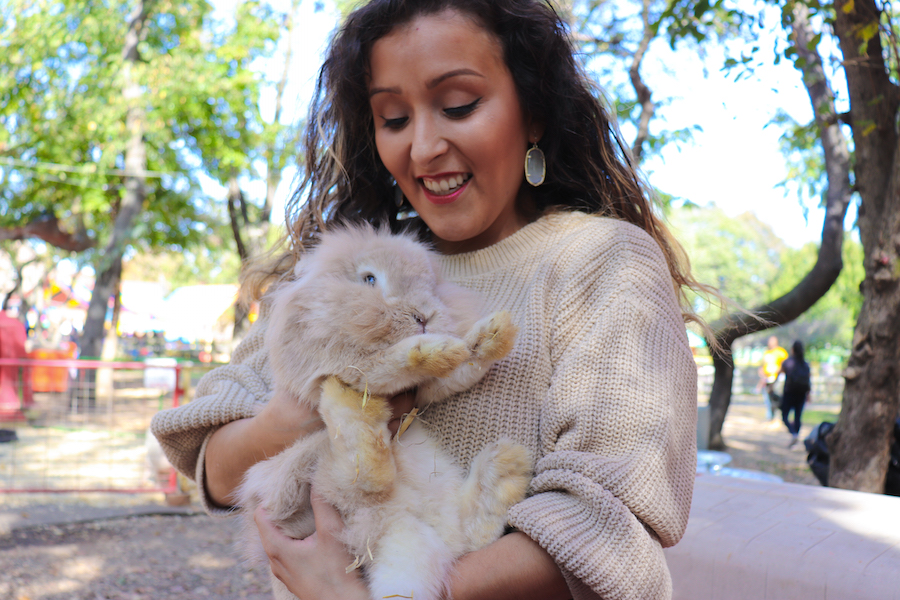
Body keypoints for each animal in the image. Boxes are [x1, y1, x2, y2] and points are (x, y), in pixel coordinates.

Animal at [236, 224, 532, 600]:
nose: (424, 317)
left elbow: (461, 371)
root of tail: (392, 523)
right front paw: (431, 351)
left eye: (432, 287)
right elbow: (383, 366)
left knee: (462, 536)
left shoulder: (426, 391)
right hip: (292, 480)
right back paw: (353, 412)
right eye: (369, 279)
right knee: (364, 480)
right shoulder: (335, 367)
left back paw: (506, 469)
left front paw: (486, 338)